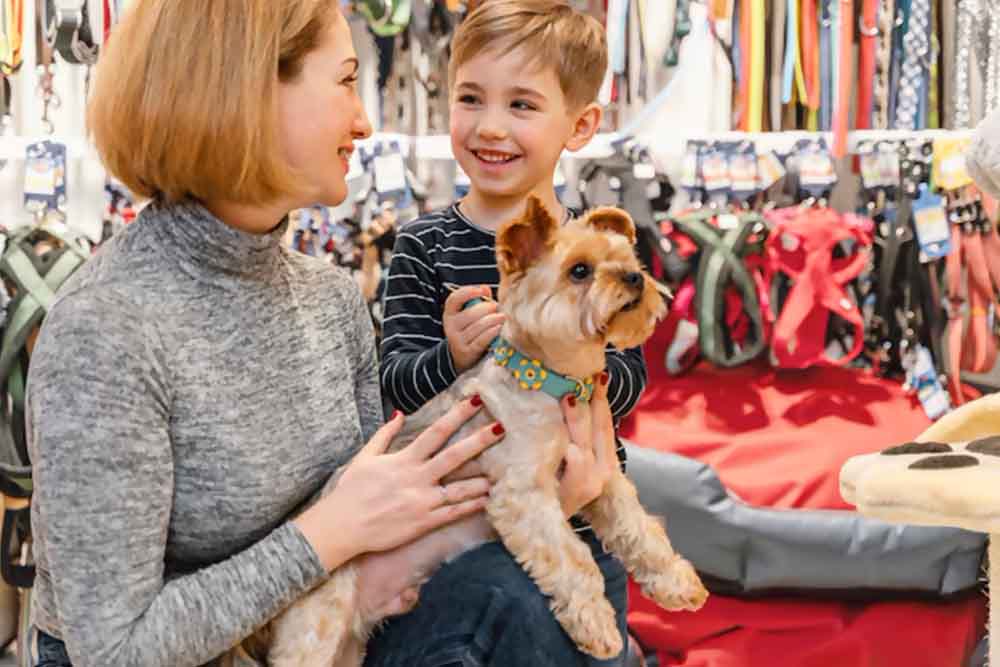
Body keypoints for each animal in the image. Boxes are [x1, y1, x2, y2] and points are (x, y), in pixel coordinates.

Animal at [254, 197, 712, 667]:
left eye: (629, 258)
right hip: (317, 627)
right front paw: (597, 624)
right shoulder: (523, 495)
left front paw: (677, 582)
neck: (551, 381)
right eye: (580, 270)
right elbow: (574, 559)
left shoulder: (604, 480)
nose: (635, 277)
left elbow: (640, 529)